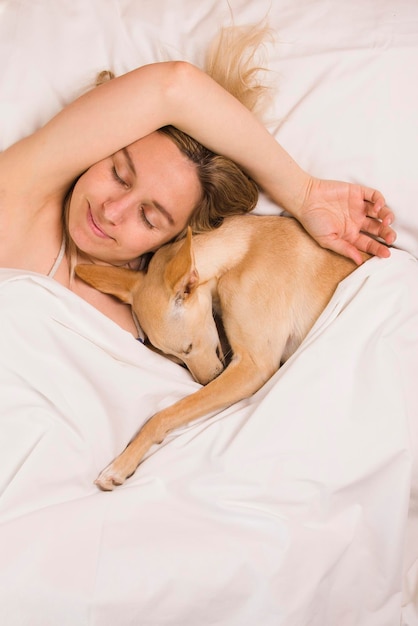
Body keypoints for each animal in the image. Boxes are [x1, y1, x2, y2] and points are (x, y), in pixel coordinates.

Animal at [75, 214, 362, 488]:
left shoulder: (254, 366)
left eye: (188, 347)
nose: (207, 381)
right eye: (175, 357)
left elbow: (163, 415)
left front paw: (120, 465)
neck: (239, 255)